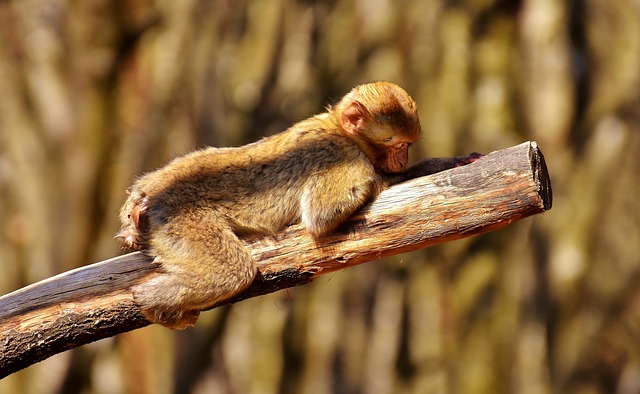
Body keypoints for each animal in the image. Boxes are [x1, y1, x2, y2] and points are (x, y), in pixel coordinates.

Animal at [120, 81, 480, 330]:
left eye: (408, 145)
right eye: (395, 143)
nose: (402, 159)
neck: (339, 129)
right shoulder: (341, 155)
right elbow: (323, 214)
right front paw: (395, 175)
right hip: (182, 220)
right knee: (232, 272)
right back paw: (150, 300)